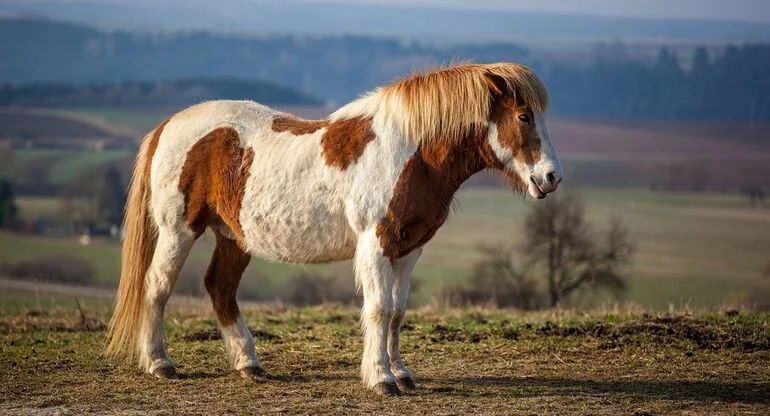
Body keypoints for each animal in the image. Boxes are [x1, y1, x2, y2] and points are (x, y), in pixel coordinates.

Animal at [105, 62, 563, 396]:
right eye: (523, 116)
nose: (551, 177)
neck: (409, 153)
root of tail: (168, 125)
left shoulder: (410, 249)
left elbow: (398, 312)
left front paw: (402, 373)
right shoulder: (377, 243)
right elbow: (379, 309)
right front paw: (381, 379)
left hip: (233, 236)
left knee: (220, 288)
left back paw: (248, 363)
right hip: (179, 231)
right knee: (156, 287)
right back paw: (159, 363)